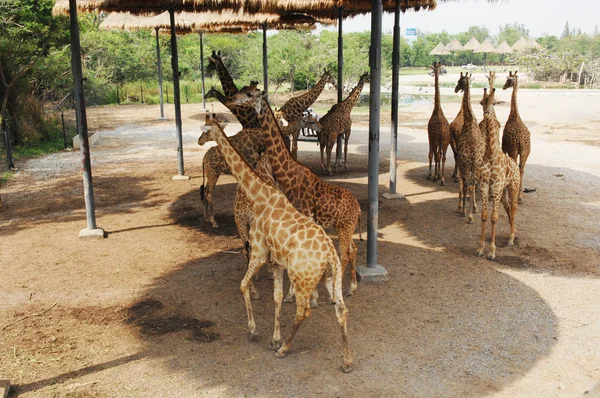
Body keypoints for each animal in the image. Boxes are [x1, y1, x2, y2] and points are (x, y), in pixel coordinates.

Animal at [209, 114, 354, 374]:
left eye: (206, 128)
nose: (201, 141)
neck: (260, 195)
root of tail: (329, 253)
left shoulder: (259, 252)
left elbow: (243, 285)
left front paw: (255, 332)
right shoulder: (275, 261)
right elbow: (276, 297)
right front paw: (273, 337)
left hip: (308, 270)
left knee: (303, 311)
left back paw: (285, 349)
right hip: (330, 274)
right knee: (341, 308)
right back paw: (346, 361)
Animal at [227, 87, 360, 298]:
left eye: (249, 94)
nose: (231, 100)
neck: (289, 174)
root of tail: (359, 208)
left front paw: (295, 294)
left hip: (344, 227)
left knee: (345, 255)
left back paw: (336, 292)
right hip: (345, 227)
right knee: (352, 250)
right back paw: (352, 287)